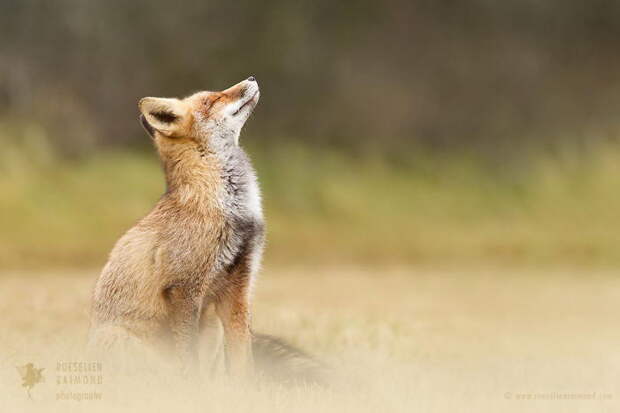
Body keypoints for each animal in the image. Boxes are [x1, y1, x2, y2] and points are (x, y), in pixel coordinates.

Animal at [90, 77, 326, 384]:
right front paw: (195, 391)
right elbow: (189, 358)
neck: (226, 207)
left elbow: (242, 359)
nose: (251, 78)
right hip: (119, 338)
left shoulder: (238, 286)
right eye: (212, 100)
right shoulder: (184, 288)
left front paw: (243, 390)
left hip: (212, 328)